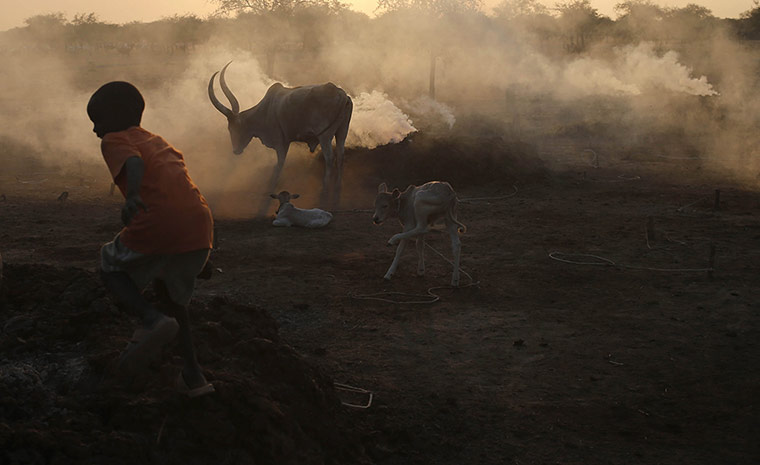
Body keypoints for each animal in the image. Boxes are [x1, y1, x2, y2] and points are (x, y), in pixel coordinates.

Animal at [208, 62, 353, 214]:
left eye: (233, 128)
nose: (236, 150)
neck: (266, 109)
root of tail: (342, 95)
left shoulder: (280, 143)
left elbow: (278, 166)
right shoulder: (286, 141)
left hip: (325, 136)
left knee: (330, 158)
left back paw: (324, 191)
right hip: (342, 132)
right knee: (340, 156)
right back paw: (337, 190)